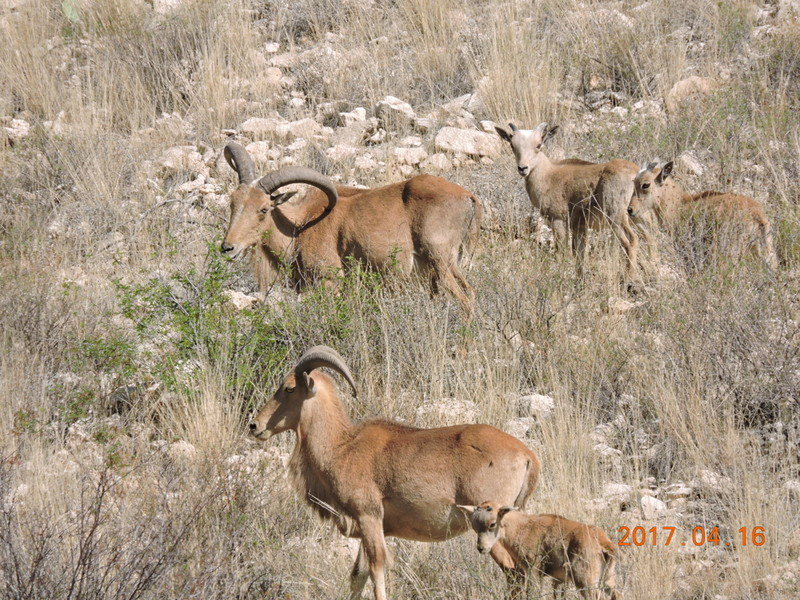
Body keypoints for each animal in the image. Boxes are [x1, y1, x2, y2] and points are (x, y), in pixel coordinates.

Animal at [220, 141, 482, 310]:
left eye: (263, 209)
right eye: (233, 202)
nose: (228, 248)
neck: (299, 227)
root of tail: (468, 197)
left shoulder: (329, 281)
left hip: (440, 260)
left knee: (466, 299)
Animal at [456, 502, 620, 600]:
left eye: (492, 524)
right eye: (474, 526)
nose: (481, 548)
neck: (521, 527)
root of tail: (603, 542)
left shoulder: (533, 570)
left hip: (586, 580)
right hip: (608, 578)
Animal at [628, 162, 780, 270]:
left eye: (646, 185)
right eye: (633, 182)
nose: (630, 210)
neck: (679, 205)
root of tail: (756, 214)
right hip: (766, 251)